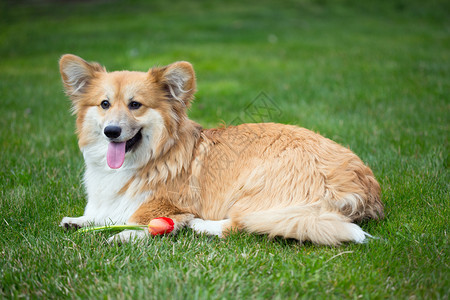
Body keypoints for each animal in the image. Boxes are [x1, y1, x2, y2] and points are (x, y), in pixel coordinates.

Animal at [59, 54, 384, 246]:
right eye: (104, 104)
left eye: (135, 104)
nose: (111, 131)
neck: (149, 157)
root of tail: (361, 189)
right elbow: (103, 214)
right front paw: (79, 221)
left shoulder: (168, 206)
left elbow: (140, 221)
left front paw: (124, 235)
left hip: (253, 189)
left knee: (242, 225)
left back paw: (204, 226)